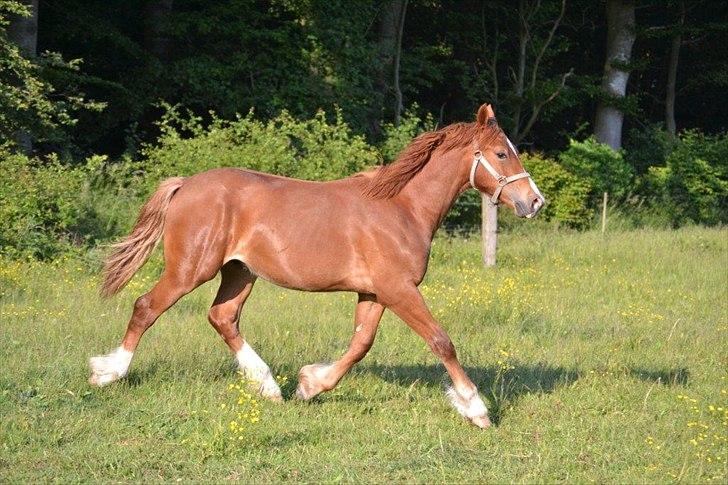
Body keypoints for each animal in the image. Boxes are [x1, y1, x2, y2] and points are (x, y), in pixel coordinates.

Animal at [91, 103, 544, 428]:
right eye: (502, 153)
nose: (534, 201)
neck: (401, 207)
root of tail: (185, 184)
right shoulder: (398, 289)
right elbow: (440, 340)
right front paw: (476, 409)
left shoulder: (374, 291)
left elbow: (361, 344)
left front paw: (310, 385)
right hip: (190, 270)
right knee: (146, 307)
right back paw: (108, 373)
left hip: (239, 272)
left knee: (222, 317)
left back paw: (268, 386)